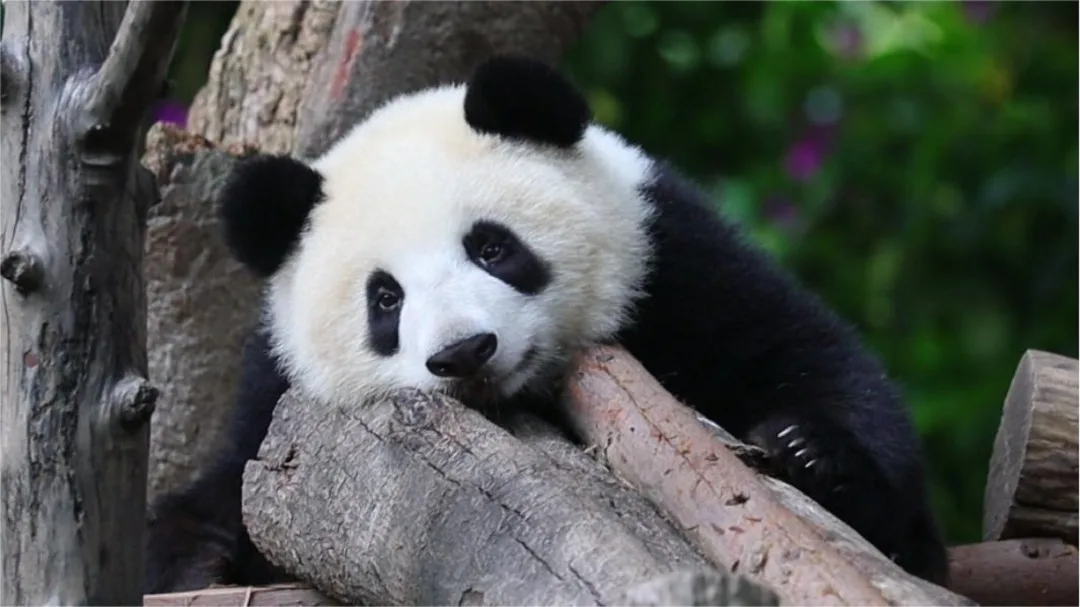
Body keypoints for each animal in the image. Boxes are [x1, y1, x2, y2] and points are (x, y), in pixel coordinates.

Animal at [145, 55, 948, 593]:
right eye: (386, 300)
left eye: (492, 247)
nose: (465, 351)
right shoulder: (274, 393)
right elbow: (220, 491)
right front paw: (200, 561)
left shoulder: (675, 261)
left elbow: (808, 357)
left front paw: (809, 451)